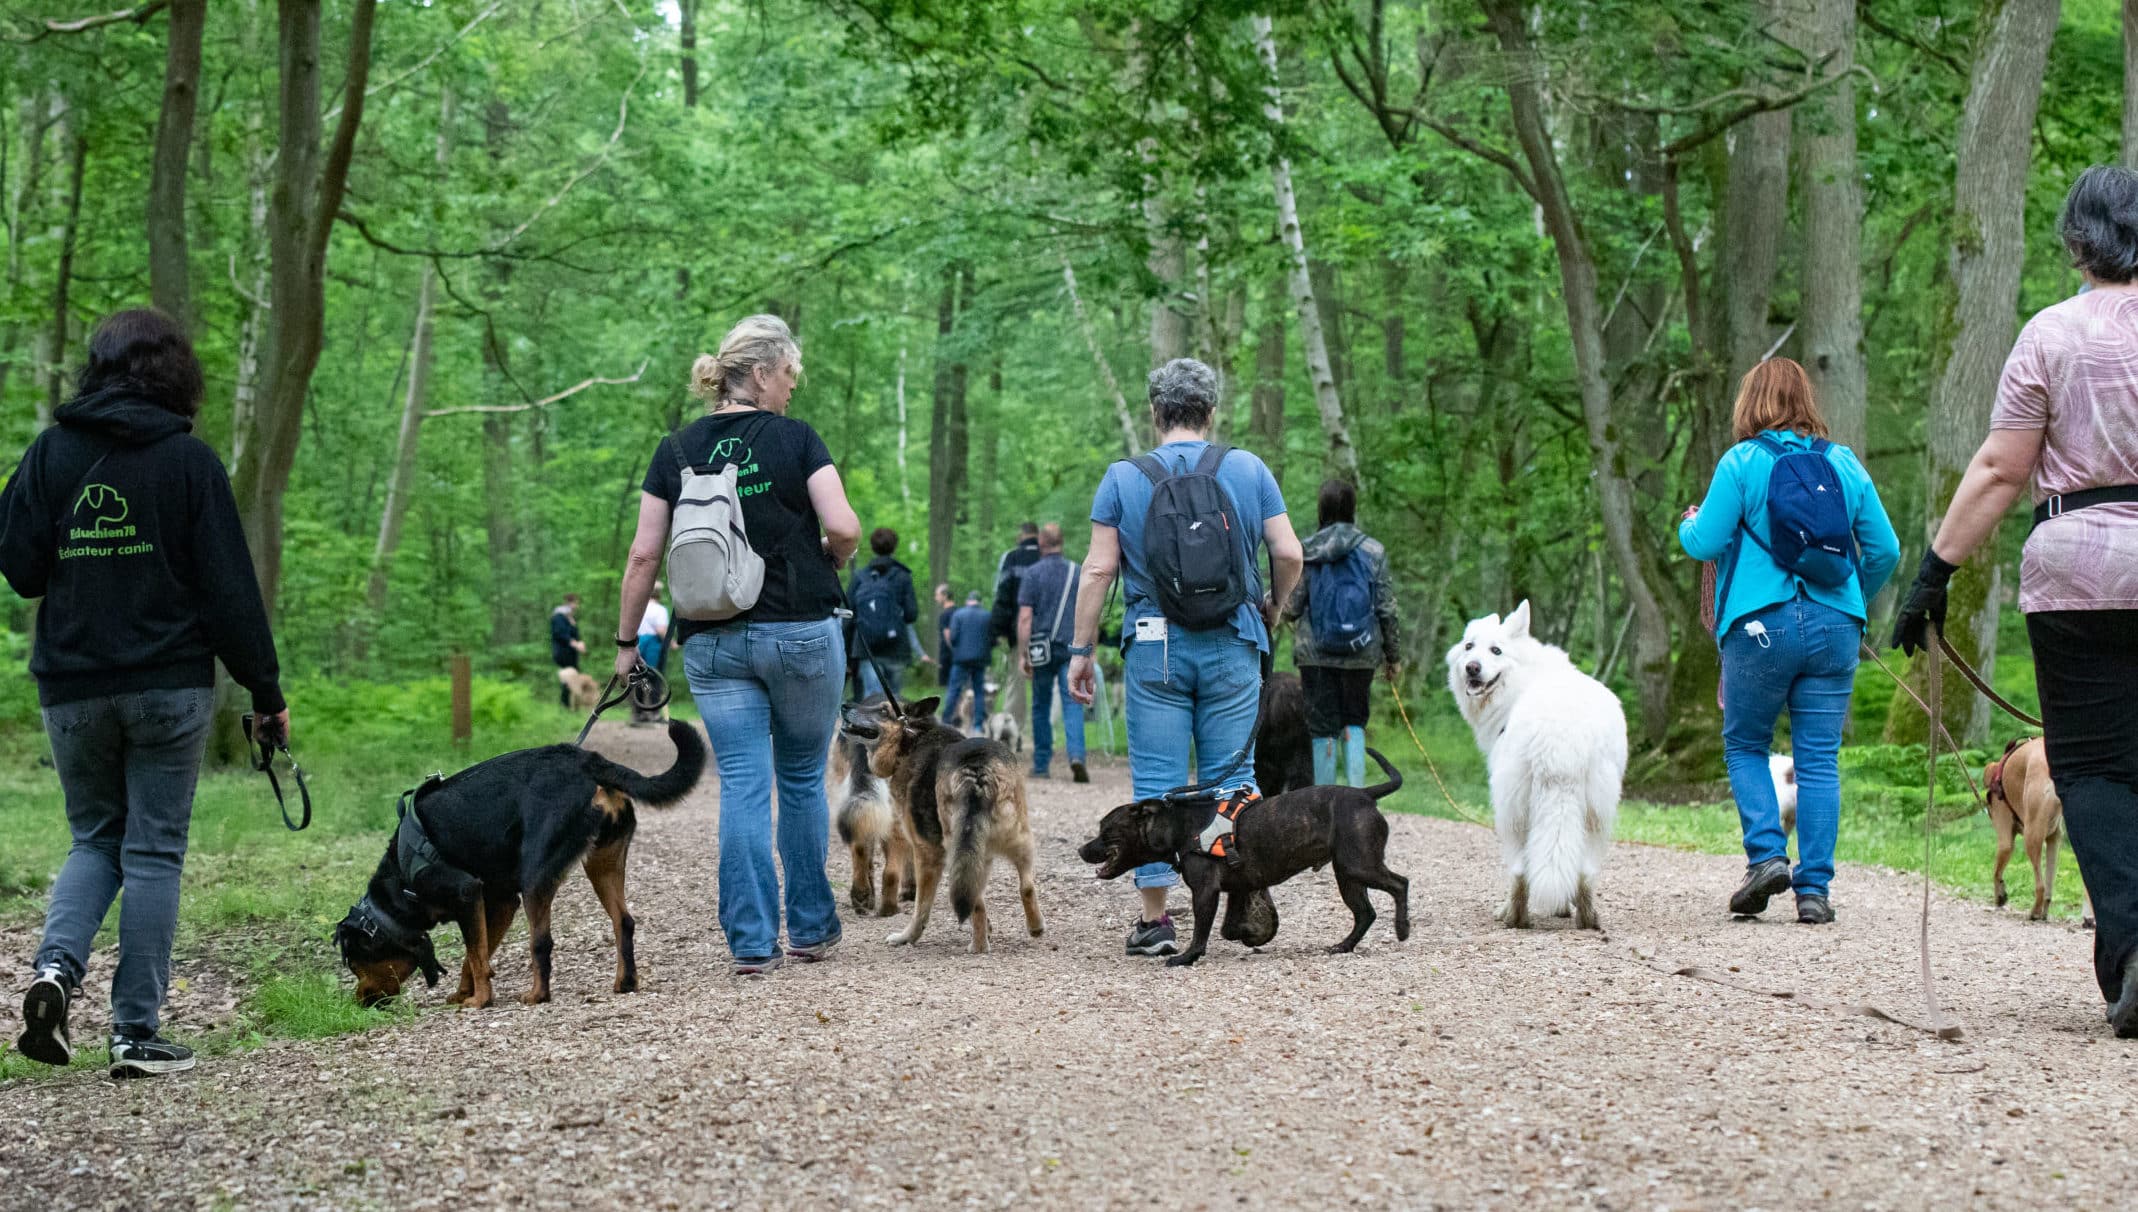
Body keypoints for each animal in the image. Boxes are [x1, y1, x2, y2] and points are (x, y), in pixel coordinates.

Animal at [329, 726, 705, 1008]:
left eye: (356, 963)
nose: (357, 1002)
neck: (400, 886)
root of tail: (588, 761)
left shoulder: (468, 893)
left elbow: (476, 957)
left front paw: (480, 1000)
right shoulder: (498, 903)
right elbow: (475, 956)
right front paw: (464, 993)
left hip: (536, 877)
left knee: (542, 942)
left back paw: (538, 994)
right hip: (604, 863)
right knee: (623, 922)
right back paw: (625, 982)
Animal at [833, 696, 1043, 953]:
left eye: (883, 710)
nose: (845, 705)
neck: (912, 738)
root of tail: (976, 766)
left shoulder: (925, 850)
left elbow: (921, 908)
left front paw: (907, 937)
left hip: (955, 848)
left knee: (970, 903)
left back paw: (977, 946)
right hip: (1012, 840)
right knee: (1025, 886)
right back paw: (1034, 927)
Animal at [1077, 752, 1411, 970]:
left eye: (1106, 832)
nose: (1081, 850)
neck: (1177, 826)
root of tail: (1365, 795)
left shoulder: (1205, 892)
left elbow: (1201, 931)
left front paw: (1187, 957)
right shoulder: (1237, 885)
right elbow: (1229, 925)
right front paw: (1250, 931)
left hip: (1359, 865)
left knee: (1400, 884)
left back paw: (1402, 928)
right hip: (1348, 876)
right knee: (1365, 913)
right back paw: (1344, 946)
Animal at [1445, 602, 1624, 927]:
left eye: (1496, 651)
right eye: (1469, 647)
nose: (1472, 667)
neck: (1524, 678)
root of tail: (1559, 737)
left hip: (1512, 814)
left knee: (1520, 871)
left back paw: (1514, 916)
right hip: (1594, 814)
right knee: (1581, 871)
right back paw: (1585, 917)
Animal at [1984, 735, 2086, 923]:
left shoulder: (2005, 840)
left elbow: (1996, 871)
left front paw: (2000, 896)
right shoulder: (2054, 838)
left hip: (2031, 835)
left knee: (2040, 885)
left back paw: (2034, 912)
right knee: (2048, 888)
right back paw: (2044, 913)